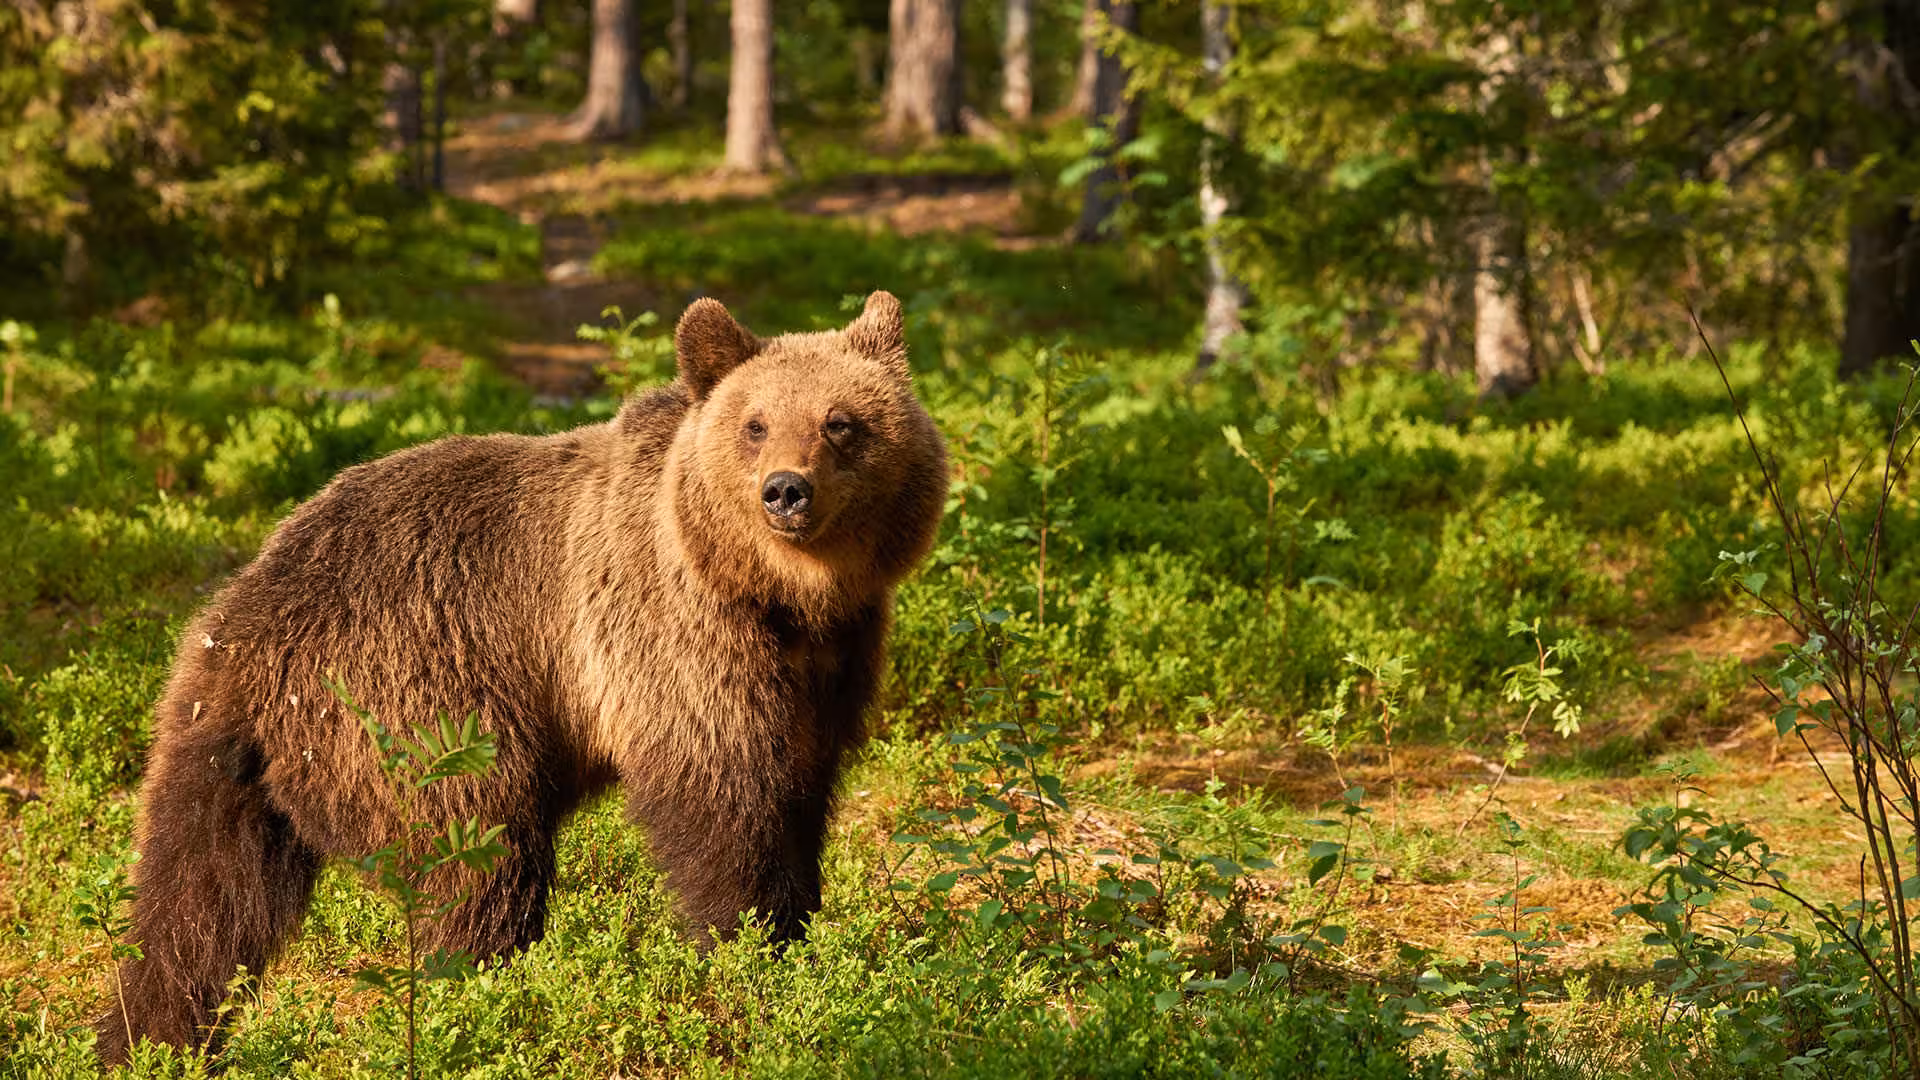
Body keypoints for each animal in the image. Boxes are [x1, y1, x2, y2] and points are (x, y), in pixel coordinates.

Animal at [95, 291, 948, 1063]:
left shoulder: (828, 665)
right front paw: (748, 948)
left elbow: (800, 793)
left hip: (217, 747)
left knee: (196, 901)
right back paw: (484, 996)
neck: (779, 595)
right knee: (482, 857)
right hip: (421, 697)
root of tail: (247, 621)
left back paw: (144, 1041)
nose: (786, 489)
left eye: (841, 422)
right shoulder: (674, 641)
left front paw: (799, 935)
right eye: (756, 423)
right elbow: (723, 806)